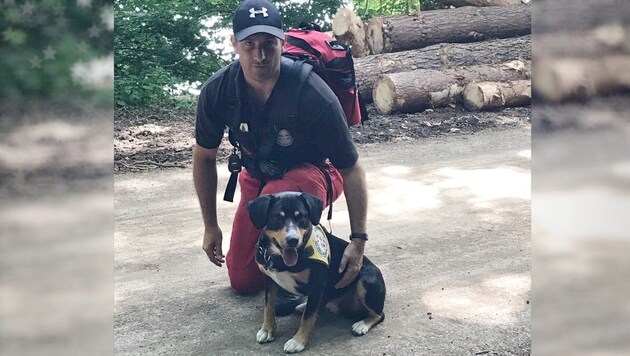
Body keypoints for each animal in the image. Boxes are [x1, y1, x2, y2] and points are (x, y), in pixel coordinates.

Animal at [249, 192, 388, 354]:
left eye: (301, 216)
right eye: (277, 217)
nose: (293, 240)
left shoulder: (318, 283)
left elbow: (308, 317)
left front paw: (298, 341)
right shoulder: (269, 280)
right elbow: (268, 307)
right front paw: (267, 330)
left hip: (367, 280)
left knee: (379, 314)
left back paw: (362, 324)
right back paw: (305, 305)